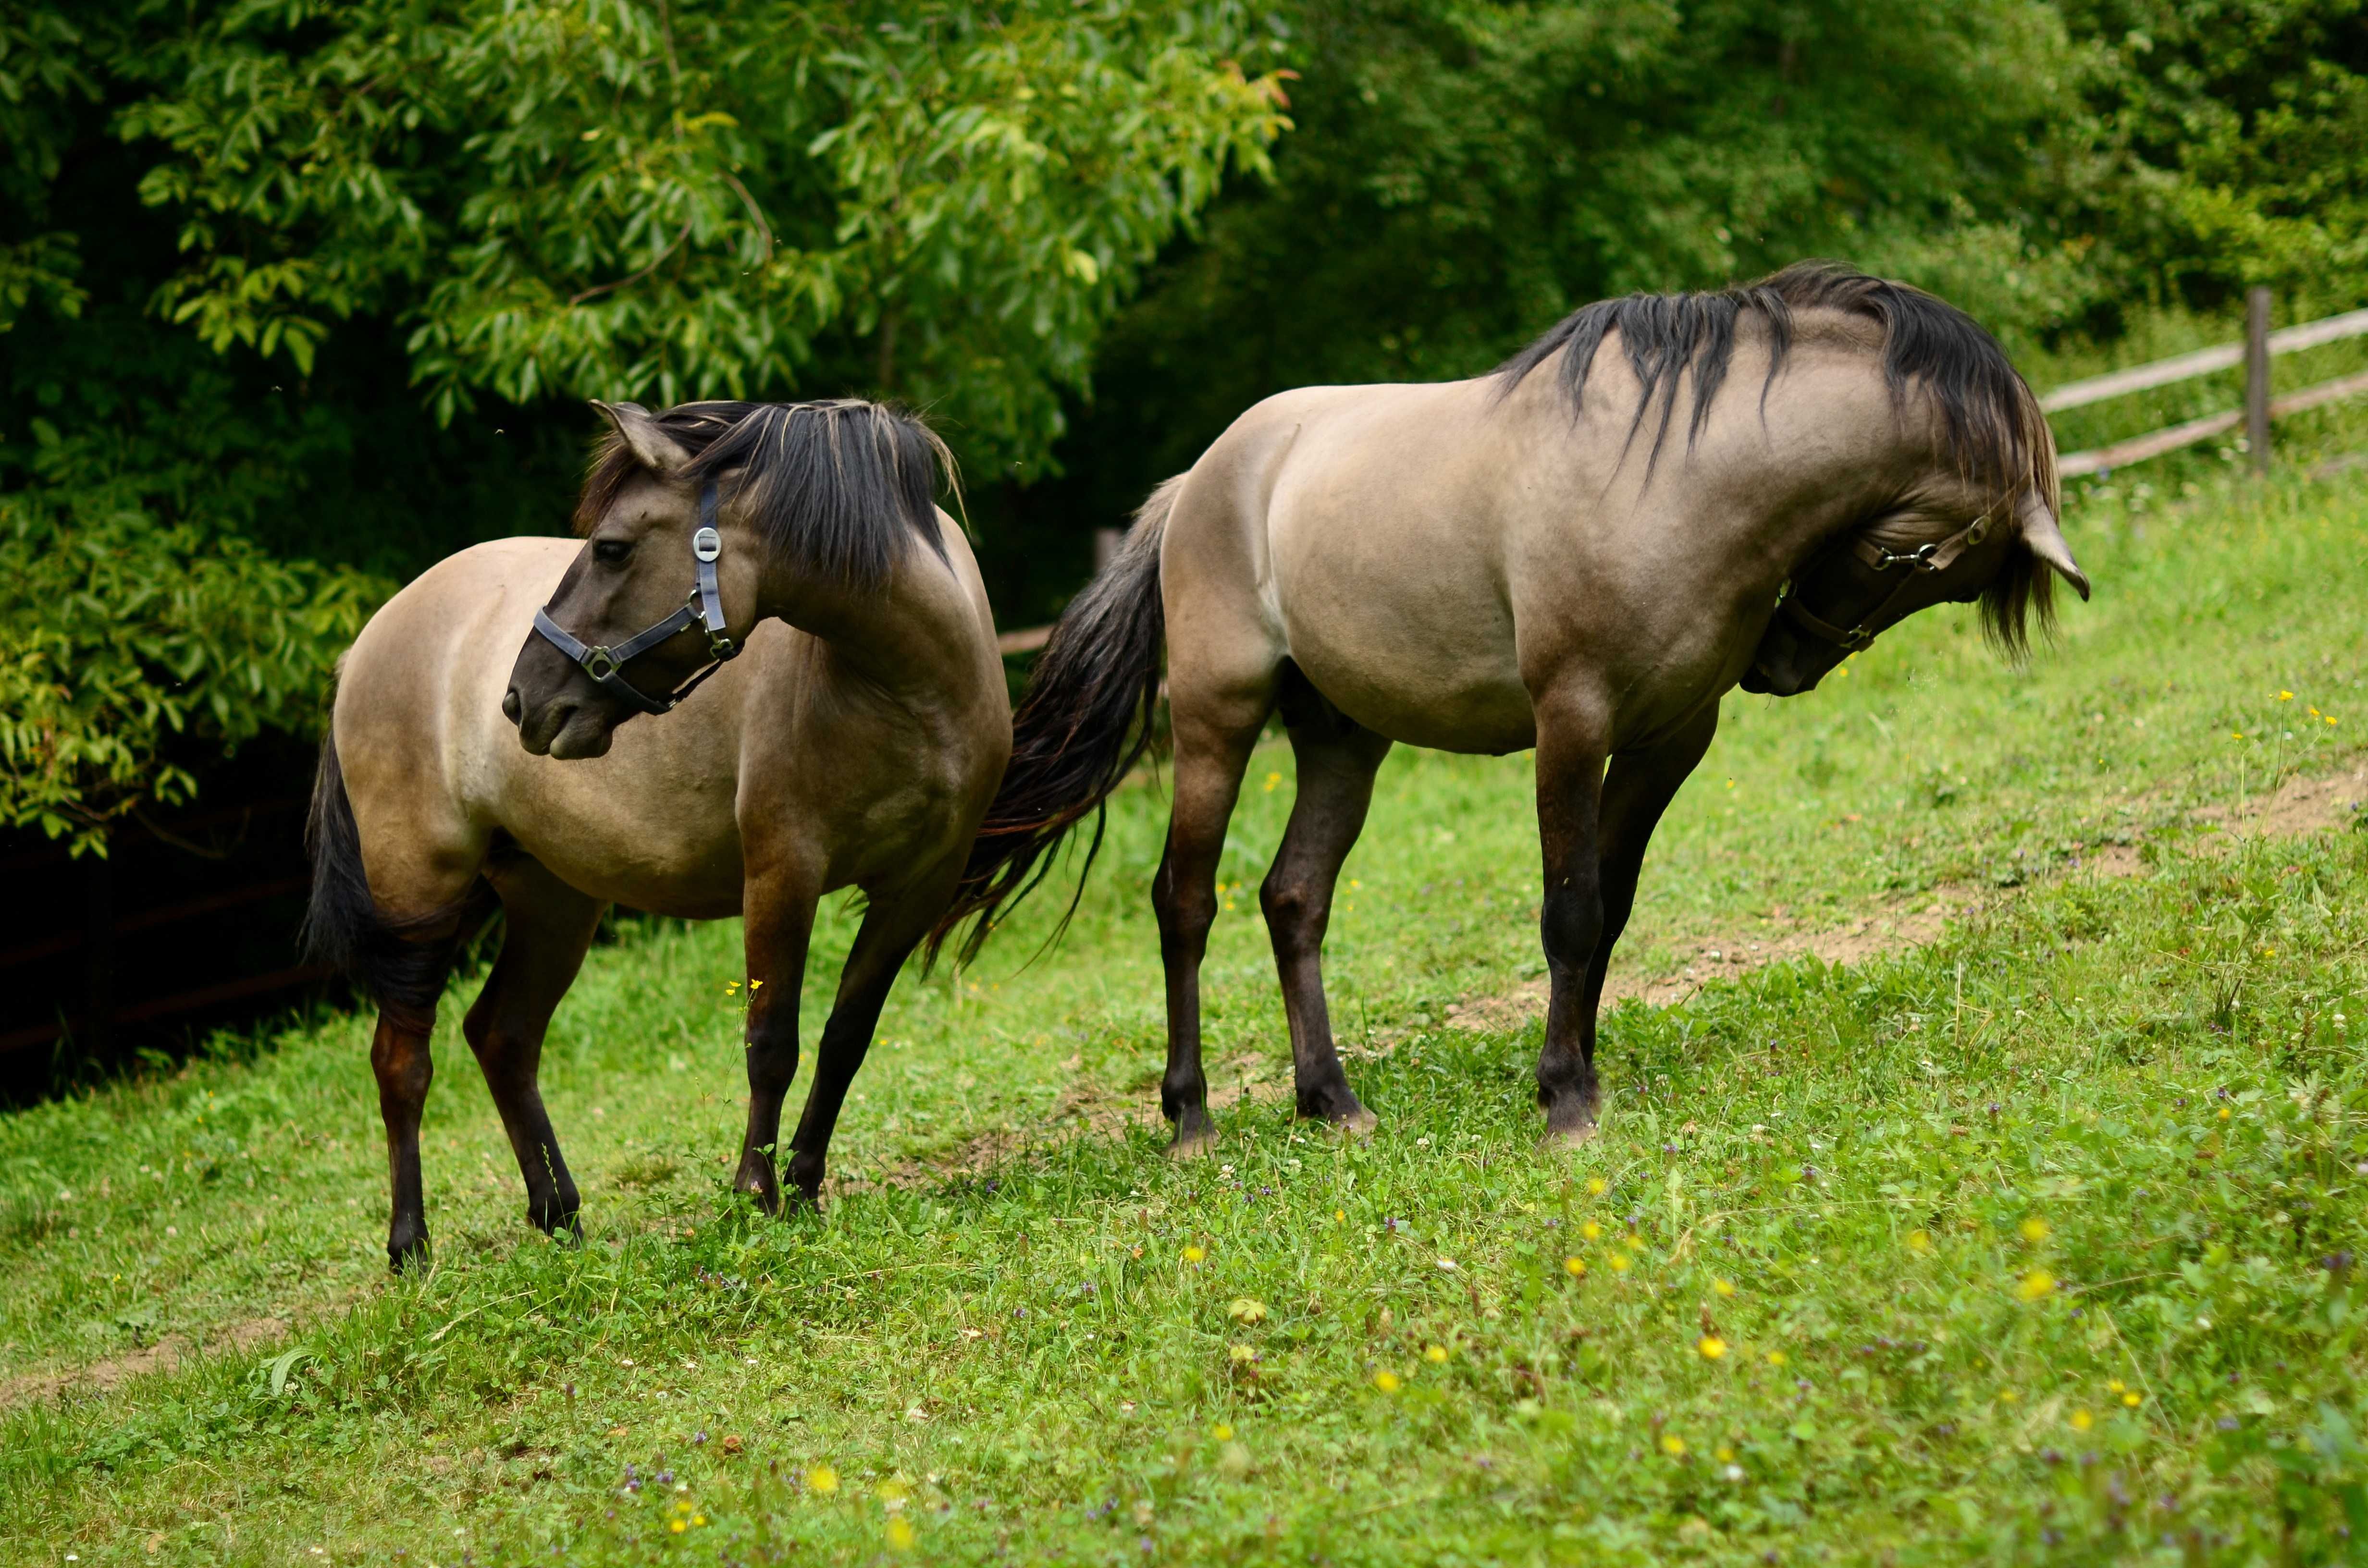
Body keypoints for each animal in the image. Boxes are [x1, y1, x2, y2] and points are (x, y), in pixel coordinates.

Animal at [300, 400, 1004, 1269]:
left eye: (611, 547)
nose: (521, 699)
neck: (905, 688)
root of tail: (365, 645)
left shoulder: (918, 888)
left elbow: (846, 1036)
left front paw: (805, 1188)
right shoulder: (783, 872)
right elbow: (771, 1041)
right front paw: (756, 1196)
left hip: (554, 900)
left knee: (502, 1036)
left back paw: (559, 1216)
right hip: (418, 893)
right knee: (403, 1061)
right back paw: (411, 1246)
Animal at [937, 264, 2093, 1160]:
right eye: (1926, 562)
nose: (1782, 662)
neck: (1677, 478)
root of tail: (1200, 480)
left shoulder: (1668, 742)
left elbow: (1611, 911)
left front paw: (1576, 1071)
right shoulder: (1571, 725)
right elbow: (1569, 909)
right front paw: (1565, 1100)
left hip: (1344, 740)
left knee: (1293, 899)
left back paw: (1331, 1101)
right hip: (1219, 725)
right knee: (1184, 903)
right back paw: (1191, 1119)